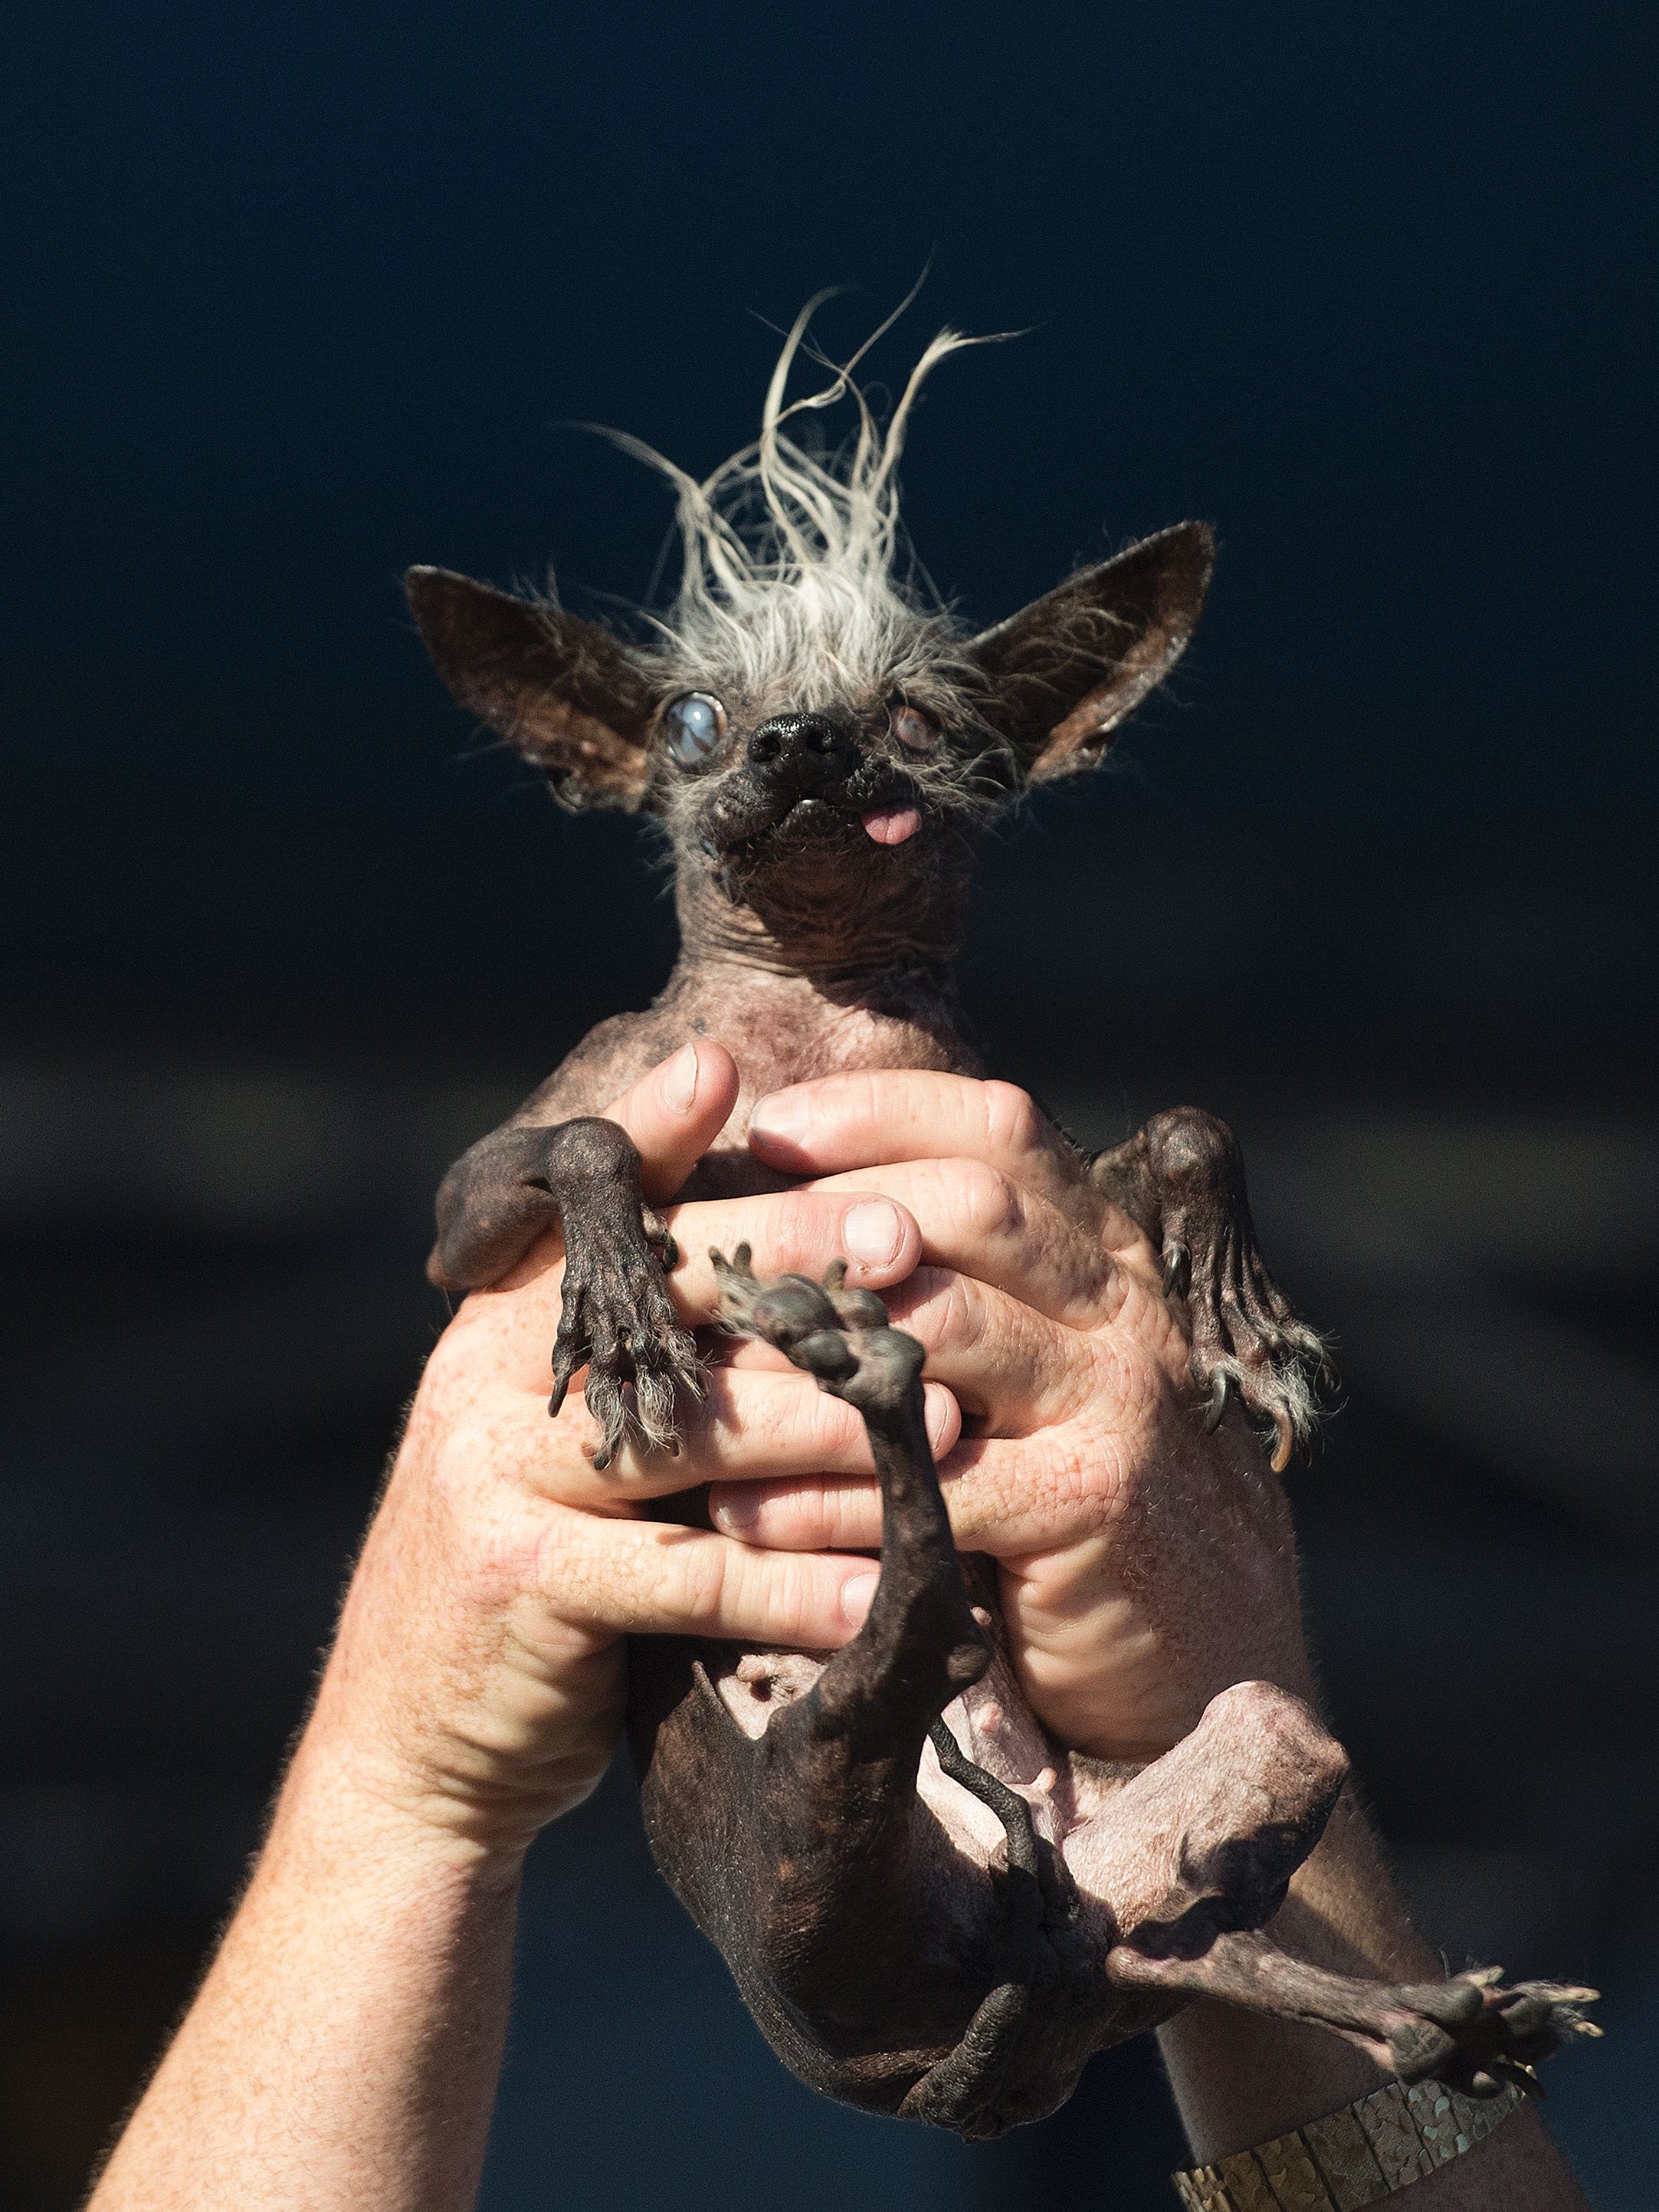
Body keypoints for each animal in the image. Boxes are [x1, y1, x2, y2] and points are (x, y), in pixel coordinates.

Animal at [407, 307, 1601, 2123]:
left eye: (910, 716)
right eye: (694, 722)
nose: (802, 745)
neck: (815, 1022)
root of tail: (977, 2011)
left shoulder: (1031, 1150)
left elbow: (1187, 1121)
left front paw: (1239, 1321)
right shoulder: (477, 1193)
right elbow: (594, 1133)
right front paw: (621, 1315)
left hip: (1243, 1756)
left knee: (1178, 1927)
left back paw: (1445, 2019)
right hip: (831, 1786)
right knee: (916, 1630)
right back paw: (850, 1358)